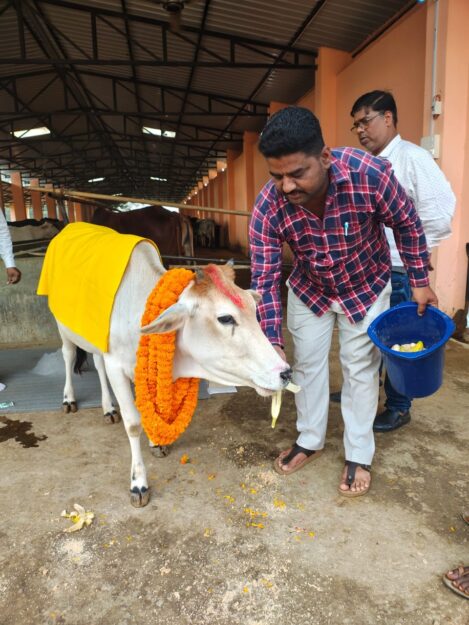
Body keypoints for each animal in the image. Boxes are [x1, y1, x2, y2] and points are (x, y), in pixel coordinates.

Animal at [41, 224, 288, 508]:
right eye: (225, 318)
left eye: (253, 308)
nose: (285, 372)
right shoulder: (116, 366)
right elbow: (133, 423)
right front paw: (138, 483)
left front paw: (155, 441)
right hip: (63, 326)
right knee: (69, 355)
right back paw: (69, 399)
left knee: (97, 363)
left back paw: (108, 408)